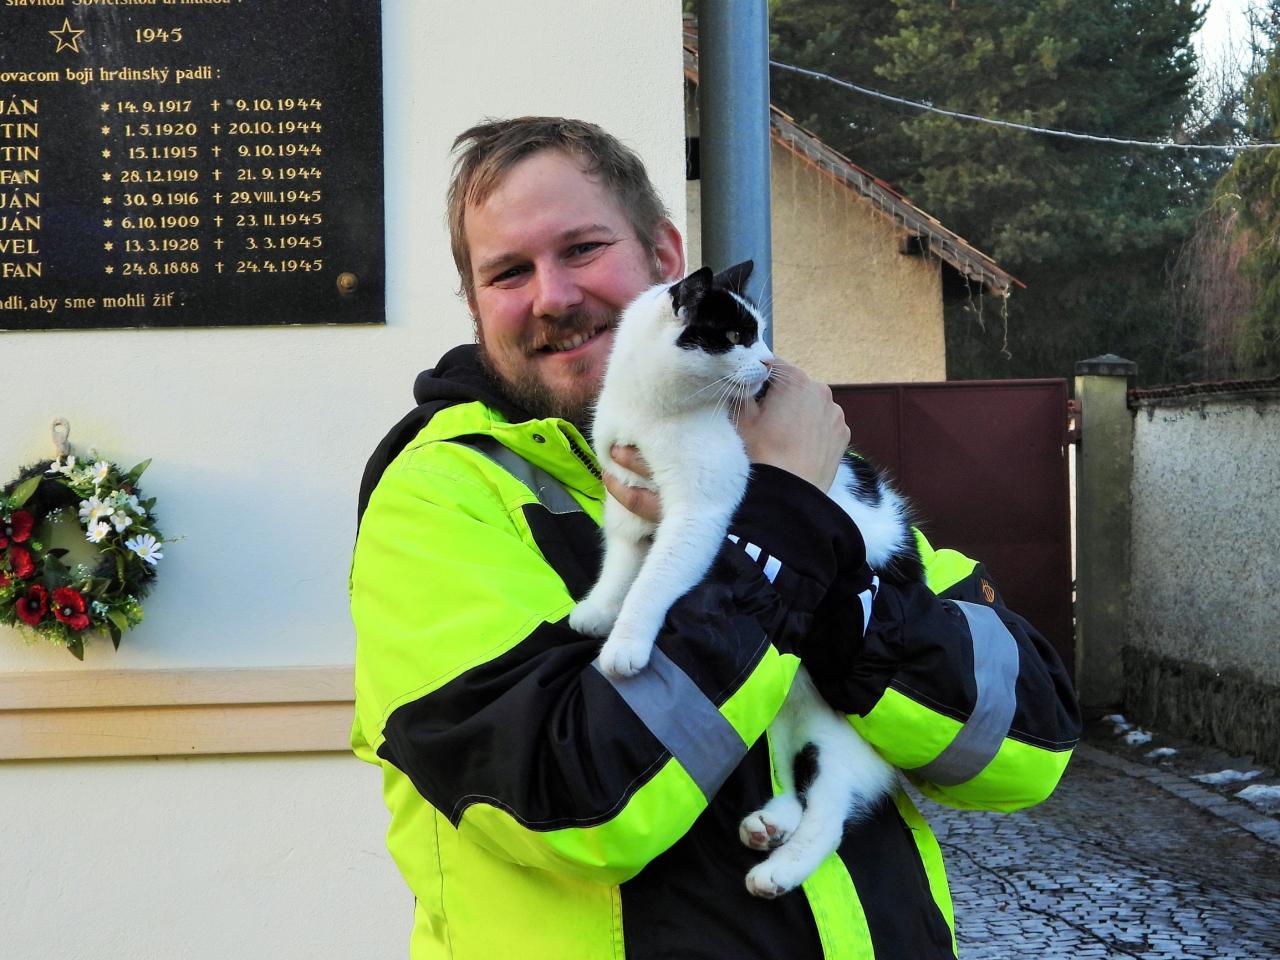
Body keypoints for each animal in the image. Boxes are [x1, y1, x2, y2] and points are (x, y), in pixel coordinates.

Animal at [568, 260, 922, 898]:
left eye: (757, 334)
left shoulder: (700, 509)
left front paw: (626, 644)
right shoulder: (627, 498)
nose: (769, 363)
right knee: (791, 778)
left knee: (829, 815)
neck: (651, 410)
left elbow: (655, 579)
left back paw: (778, 871)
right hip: (780, 719)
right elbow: (621, 559)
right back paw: (771, 822)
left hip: (839, 740)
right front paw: (600, 608)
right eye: (735, 336)